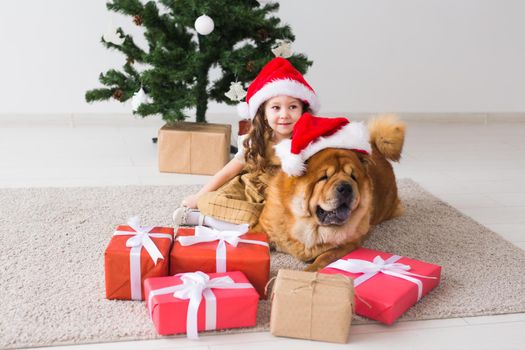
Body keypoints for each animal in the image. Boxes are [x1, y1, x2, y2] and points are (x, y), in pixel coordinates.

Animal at [258, 115, 406, 270]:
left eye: (353, 177)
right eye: (324, 177)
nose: (346, 187)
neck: (309, 226)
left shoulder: (347, 244)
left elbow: (324, 257)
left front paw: (309, 271)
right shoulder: (265, 227)